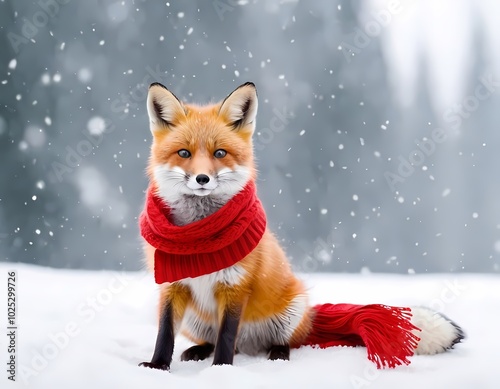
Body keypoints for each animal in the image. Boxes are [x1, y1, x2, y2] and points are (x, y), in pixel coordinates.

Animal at [138, 81, 464, 370]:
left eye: (219, 153)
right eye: (184, 153)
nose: (202, 179)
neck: (198, 235)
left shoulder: (235, 287)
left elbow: (226, 336)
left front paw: (221, 370)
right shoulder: (171, 287)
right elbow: (165, 334)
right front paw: (157, 367)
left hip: (289, 313)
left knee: (277, 343)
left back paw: (277, 355)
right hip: (197, 320)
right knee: (216, 340)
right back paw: (198, 351)